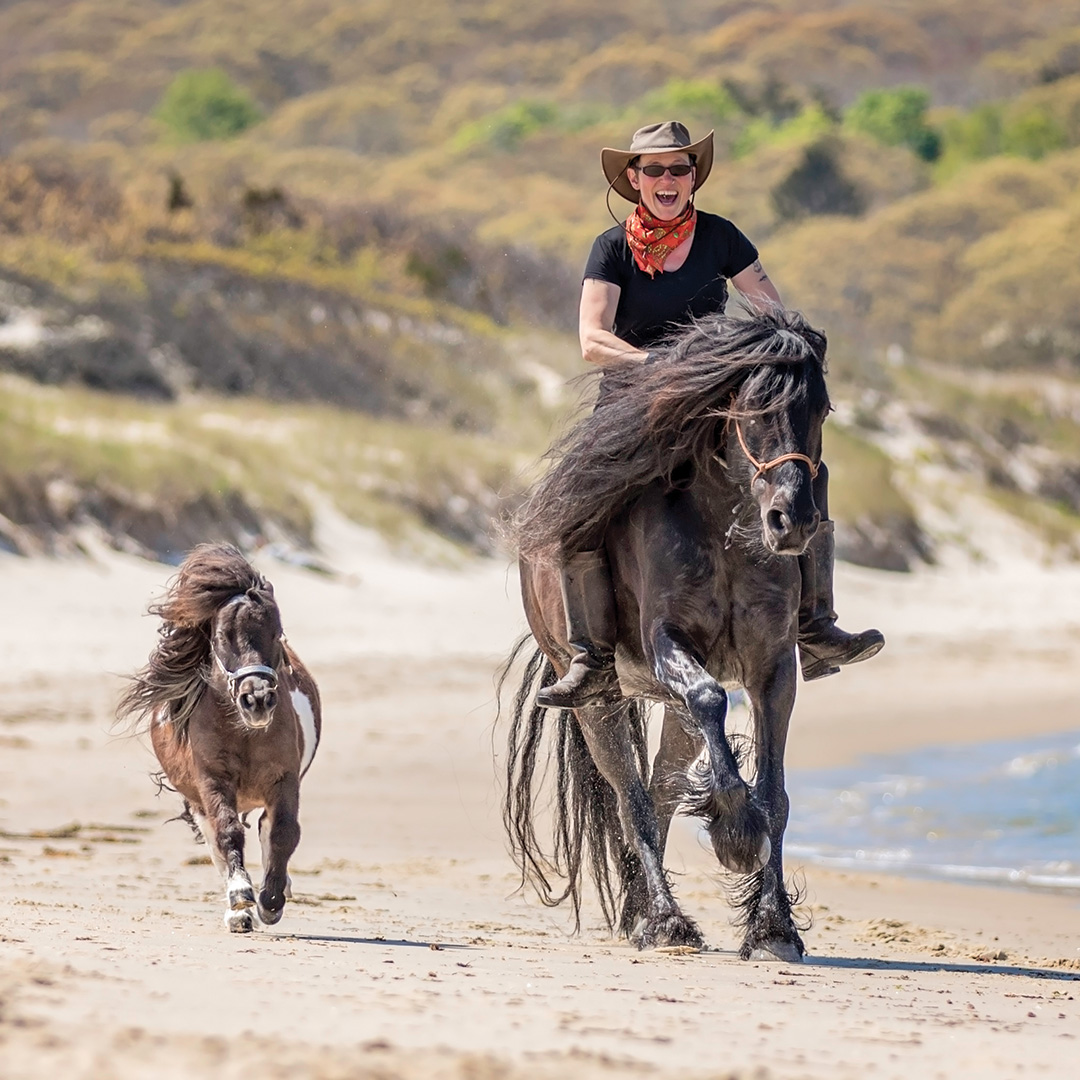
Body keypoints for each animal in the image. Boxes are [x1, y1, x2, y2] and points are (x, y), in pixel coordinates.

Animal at [118, 543, 321, 933]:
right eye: (222, 636)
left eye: (277, 633)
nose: (257, 699)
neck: (244, 732)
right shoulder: (211, 779)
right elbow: (227, 833)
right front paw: (242, 898)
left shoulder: (284, 777)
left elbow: (283, 831)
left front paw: (272, 900)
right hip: (196, 800)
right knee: (216, 843)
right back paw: (239, 912)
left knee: (265, 829)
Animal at [502, 307, 830, 961]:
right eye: (756, 409)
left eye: (824, 411)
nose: (794, 522)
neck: (724, 521)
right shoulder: (668, 645)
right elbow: (709, 699)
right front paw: (736, 833)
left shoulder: (773, 667)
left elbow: (776, 795)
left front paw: (773, 928)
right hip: (598, 702)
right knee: (634, 803)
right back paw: (664, 922)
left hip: (670, 714)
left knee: (660, 792)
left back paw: (643, 912)